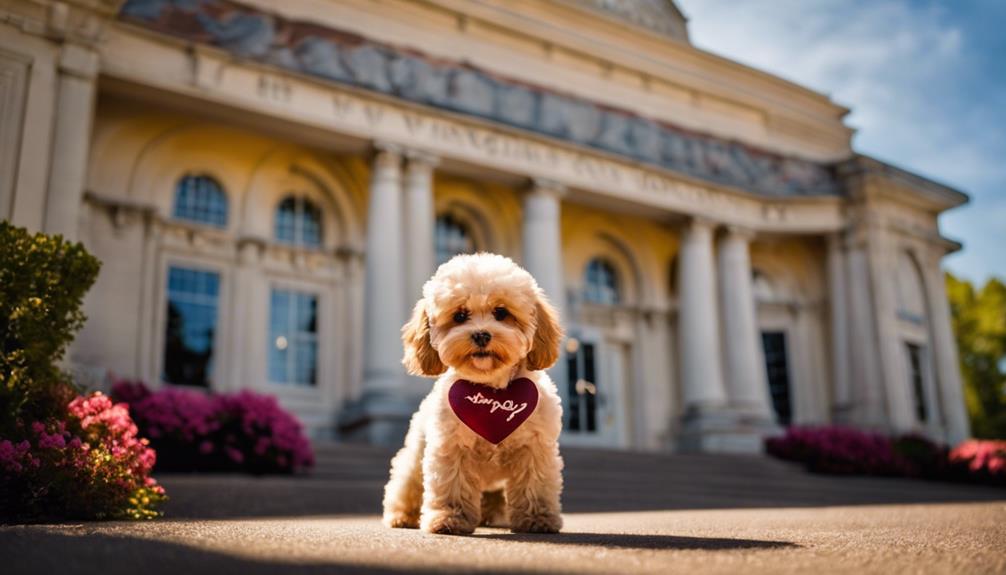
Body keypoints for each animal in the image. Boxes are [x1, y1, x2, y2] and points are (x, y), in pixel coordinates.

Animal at [382, 252, 563, 534]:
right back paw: (401, 515)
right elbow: (451, 485)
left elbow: (535, 485)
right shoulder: (450, 447)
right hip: (415, 456)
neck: (492, 390)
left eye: (501, 312)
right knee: (406, 483)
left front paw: (538, 518)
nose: (480, 335)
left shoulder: (536, 448)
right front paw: (449, 518)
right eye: (459, 315)